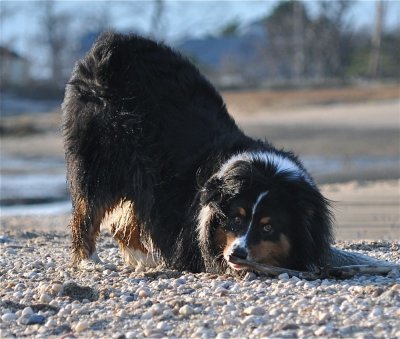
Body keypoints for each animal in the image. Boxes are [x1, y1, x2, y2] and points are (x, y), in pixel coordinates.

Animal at [62, 33, 332, 274]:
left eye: (268, 228)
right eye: (236, 218)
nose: (236, 254)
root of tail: (109, 44)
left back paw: (147, 260)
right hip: (101, 162)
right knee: (87, 211)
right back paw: (90, 261)